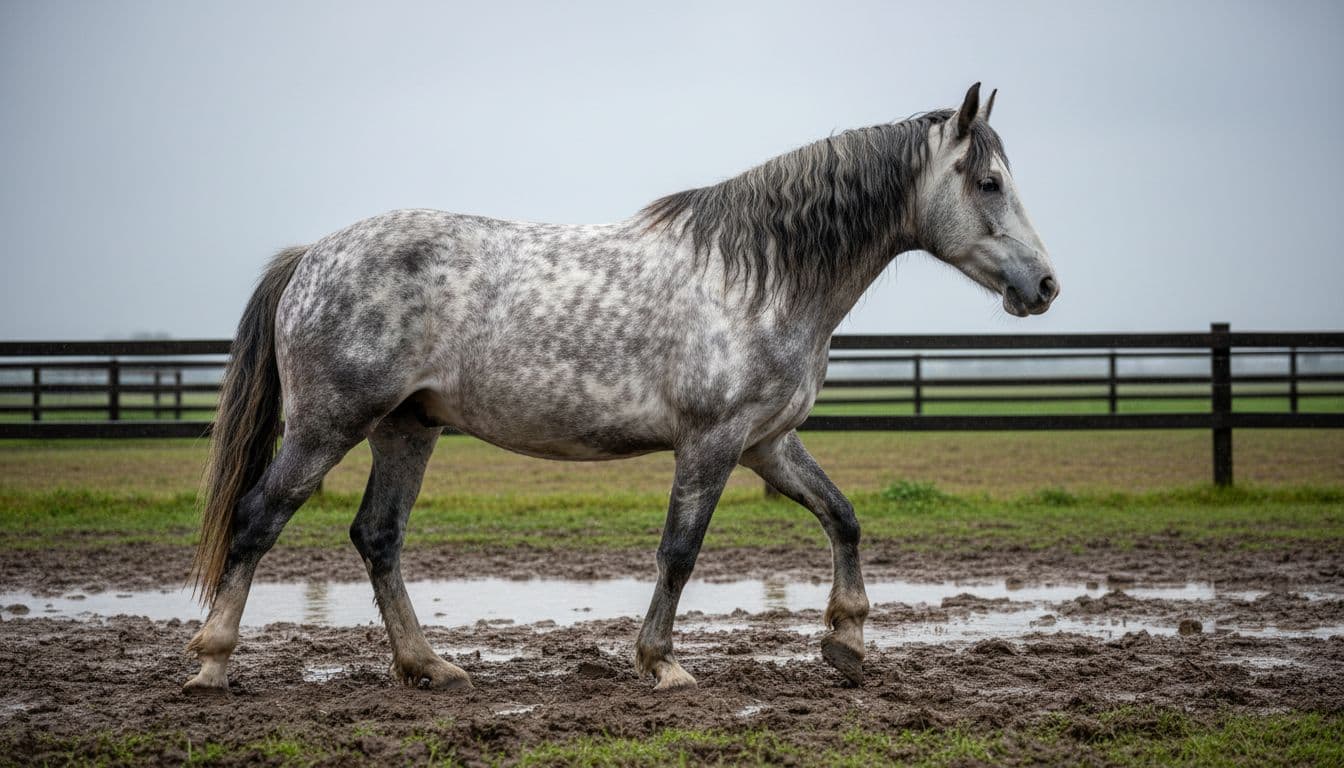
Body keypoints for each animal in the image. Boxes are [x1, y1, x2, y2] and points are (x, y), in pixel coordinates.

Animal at [184, 83, 1057, 693]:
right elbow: (679, 551)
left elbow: (841, 517)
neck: (761, 278)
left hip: (408, 427)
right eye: (987, 182)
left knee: (378, 537)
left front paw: (845, 643)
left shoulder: (767, 444)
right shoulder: (711, 442)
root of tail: (310, 256)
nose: (1044, 285)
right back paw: (213, 664)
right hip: (327, 425)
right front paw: (661, 662)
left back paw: (429, 666)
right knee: (259, 520)